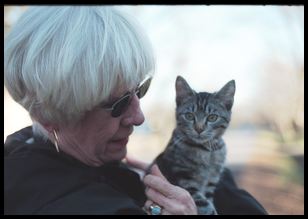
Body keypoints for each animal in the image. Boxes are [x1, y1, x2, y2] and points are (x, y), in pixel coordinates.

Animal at [152, 75, 236, 214]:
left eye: (212, 117)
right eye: (189, 116)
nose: (199, 129)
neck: (206, 150)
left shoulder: (211, 182)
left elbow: (209, 200)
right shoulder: (183, 178)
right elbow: (205, 204)